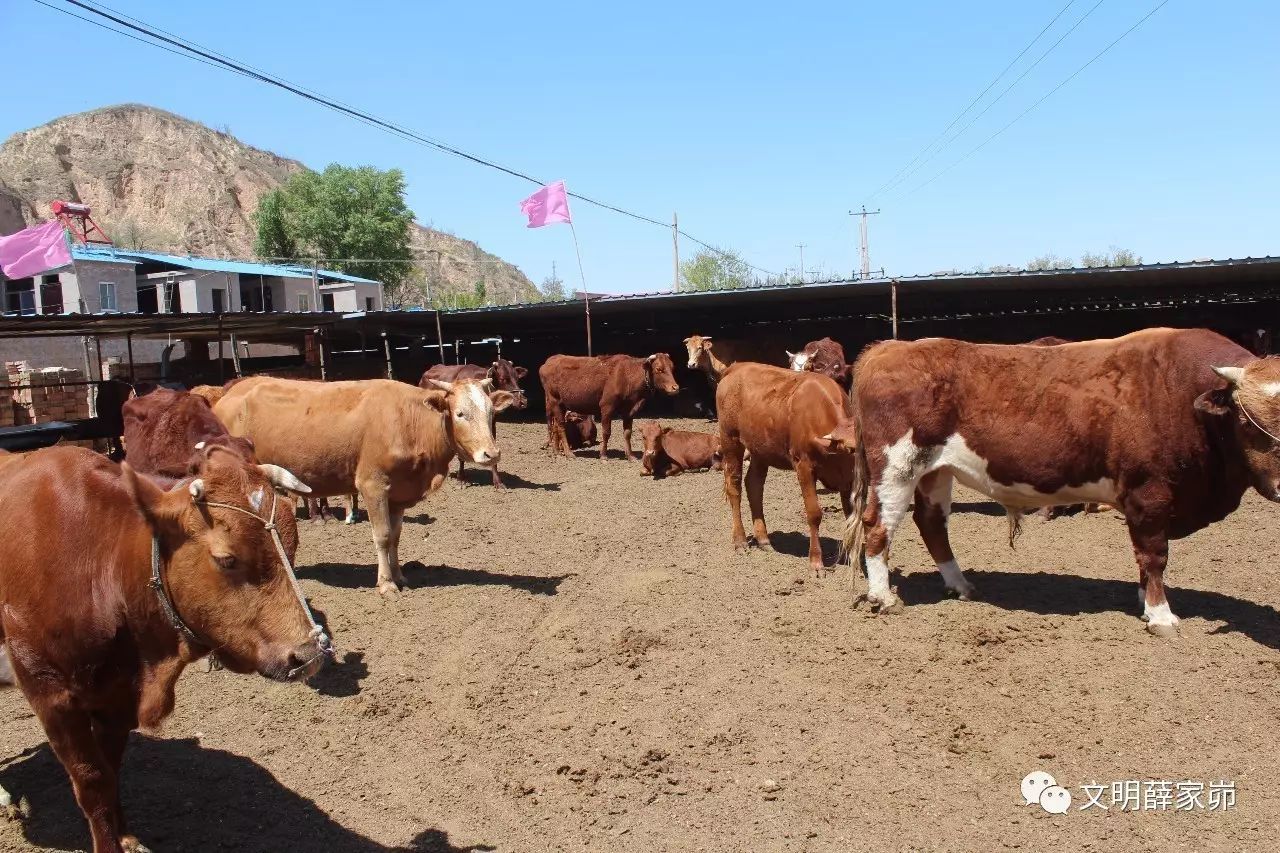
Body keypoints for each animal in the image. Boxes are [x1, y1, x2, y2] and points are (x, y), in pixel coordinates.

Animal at [0, 440, 327, 845]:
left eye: (292, 544)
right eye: (227, 559)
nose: (309, 653)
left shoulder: (119, 696)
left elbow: (111, 770)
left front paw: (125, 835)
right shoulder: (52, 697)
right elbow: (93, 783)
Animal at [217, 376, 512, 594]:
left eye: (490, 413)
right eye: (460, 414)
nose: (491, 454)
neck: (409, 421)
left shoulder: (399, 493)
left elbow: (395, 536)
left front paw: (399, 576)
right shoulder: (373, 485)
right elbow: (382, 535)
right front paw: (386, 584)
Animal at [419, 356, 529, 484]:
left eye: (517, 378)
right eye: (502, 379)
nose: (522, 402)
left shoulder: (491, 423)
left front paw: (497, 481)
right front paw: (461, 477)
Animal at [540, 350, 680, 458]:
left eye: (672, 368)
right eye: (659, 369)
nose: (675, 387)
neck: (627, 375)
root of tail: (549, 361)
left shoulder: (629, 410)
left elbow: (627, 433)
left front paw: (630, 456)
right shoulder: (607, 407)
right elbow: (606, 432)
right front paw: (603, 455)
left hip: (559, 405)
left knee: (555, 426)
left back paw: (557, 452)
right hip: (555, 401)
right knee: (561, 426)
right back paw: (569, 453)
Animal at [716, 358, 855, 571]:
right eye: (852, 449)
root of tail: (737, 367)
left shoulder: (848, 479)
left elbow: (851, 516)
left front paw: (853, 557)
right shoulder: (804, 466)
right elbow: (814, 513)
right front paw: (816, 562)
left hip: (760, 449)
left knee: (754, 485)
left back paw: (763, 539)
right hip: (730, 440)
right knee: (734, 486)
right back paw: (740, 540)